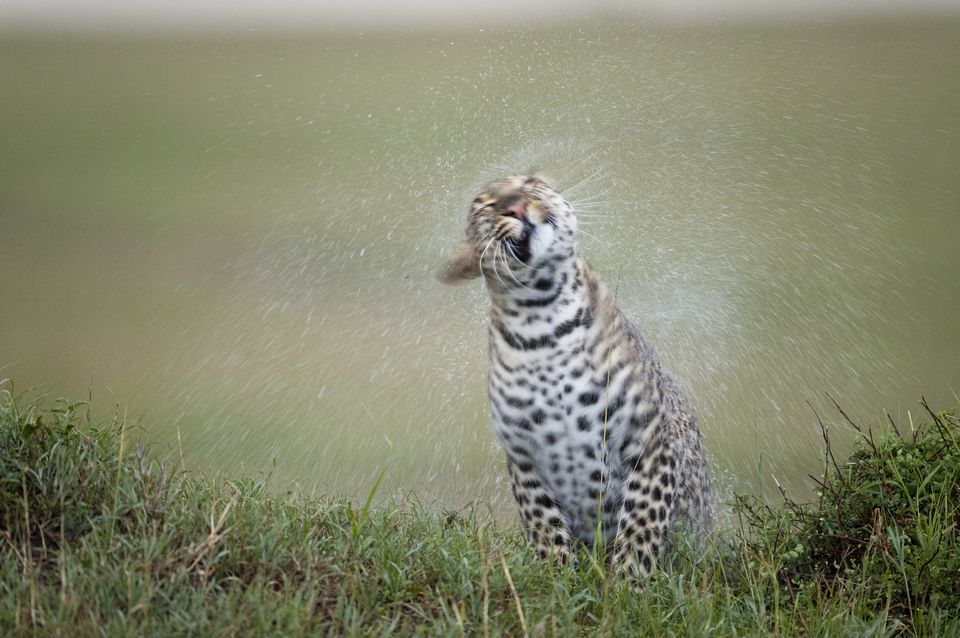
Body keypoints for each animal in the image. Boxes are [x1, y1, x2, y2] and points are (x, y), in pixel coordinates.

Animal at [440, 175, 712, 580]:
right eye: (486, 204)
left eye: (529, 184)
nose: (516, 206)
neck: (542, 318)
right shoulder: (524, 454)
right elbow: (545, 524)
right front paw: (555, 578)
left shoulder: (648, 441)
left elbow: (641, 524)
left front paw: (629, 584)